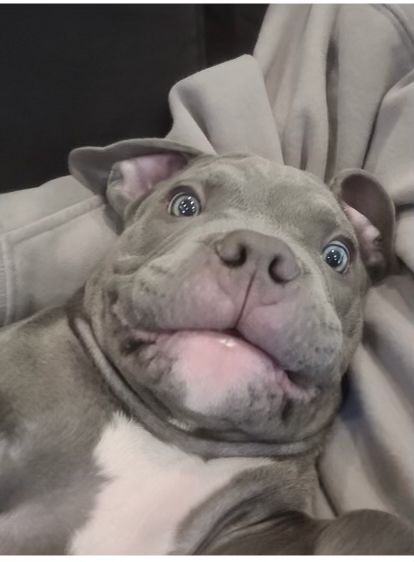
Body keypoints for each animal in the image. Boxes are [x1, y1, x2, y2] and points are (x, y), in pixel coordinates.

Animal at [0, 139, 414, 552]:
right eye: (184, 204)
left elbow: (376, 524)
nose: (262, 252)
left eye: (338, 256)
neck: (173, 439)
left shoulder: (257, 530)